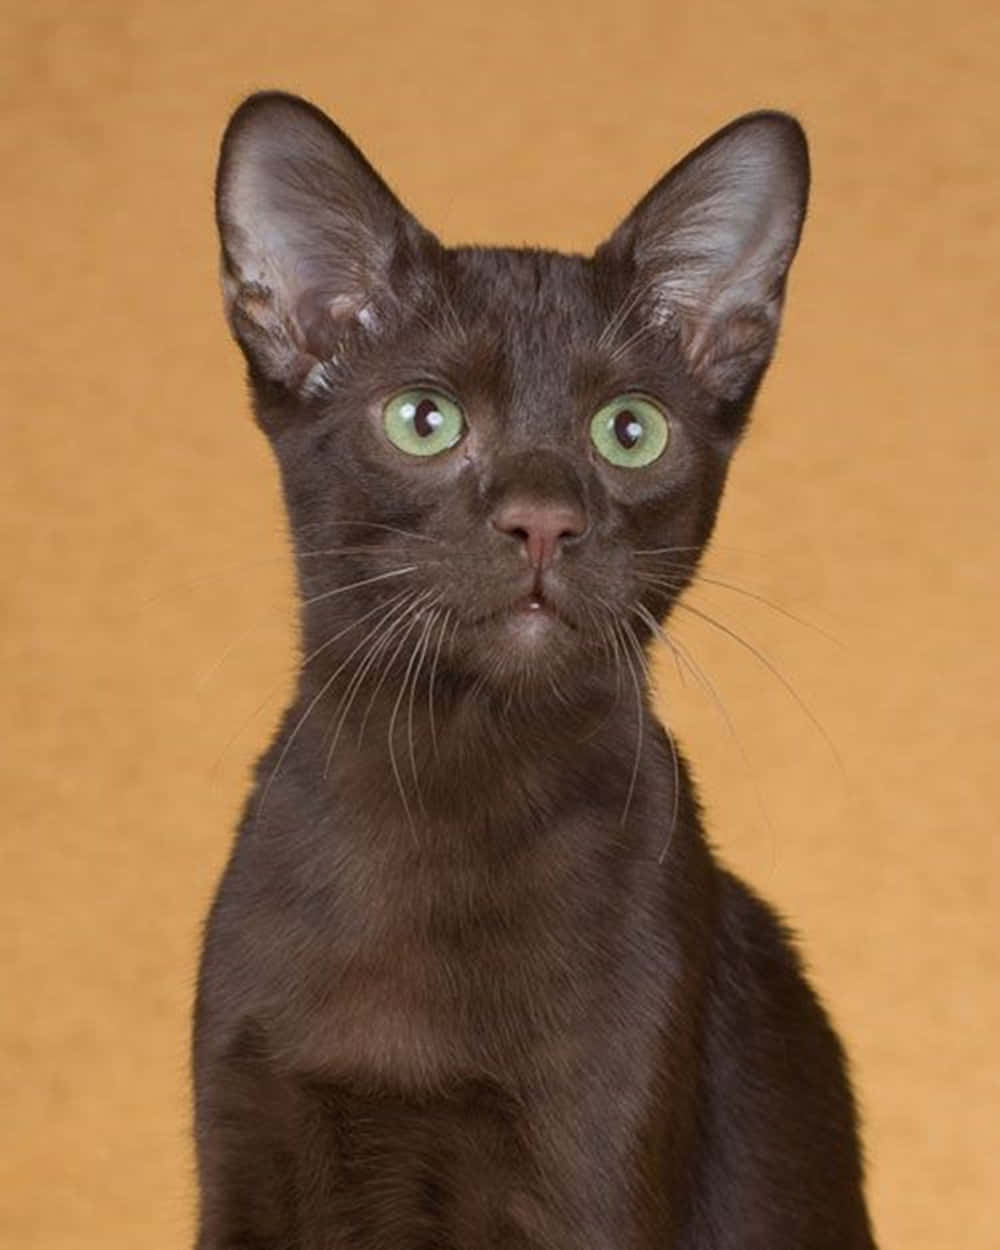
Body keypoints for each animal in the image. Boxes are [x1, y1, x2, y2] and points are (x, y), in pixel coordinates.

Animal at [193, 92, 875, 1245]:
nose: (544, 517)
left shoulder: (590, 1171)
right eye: (424, 421)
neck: (445, 785)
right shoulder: (242, 1167)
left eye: (630, 431)